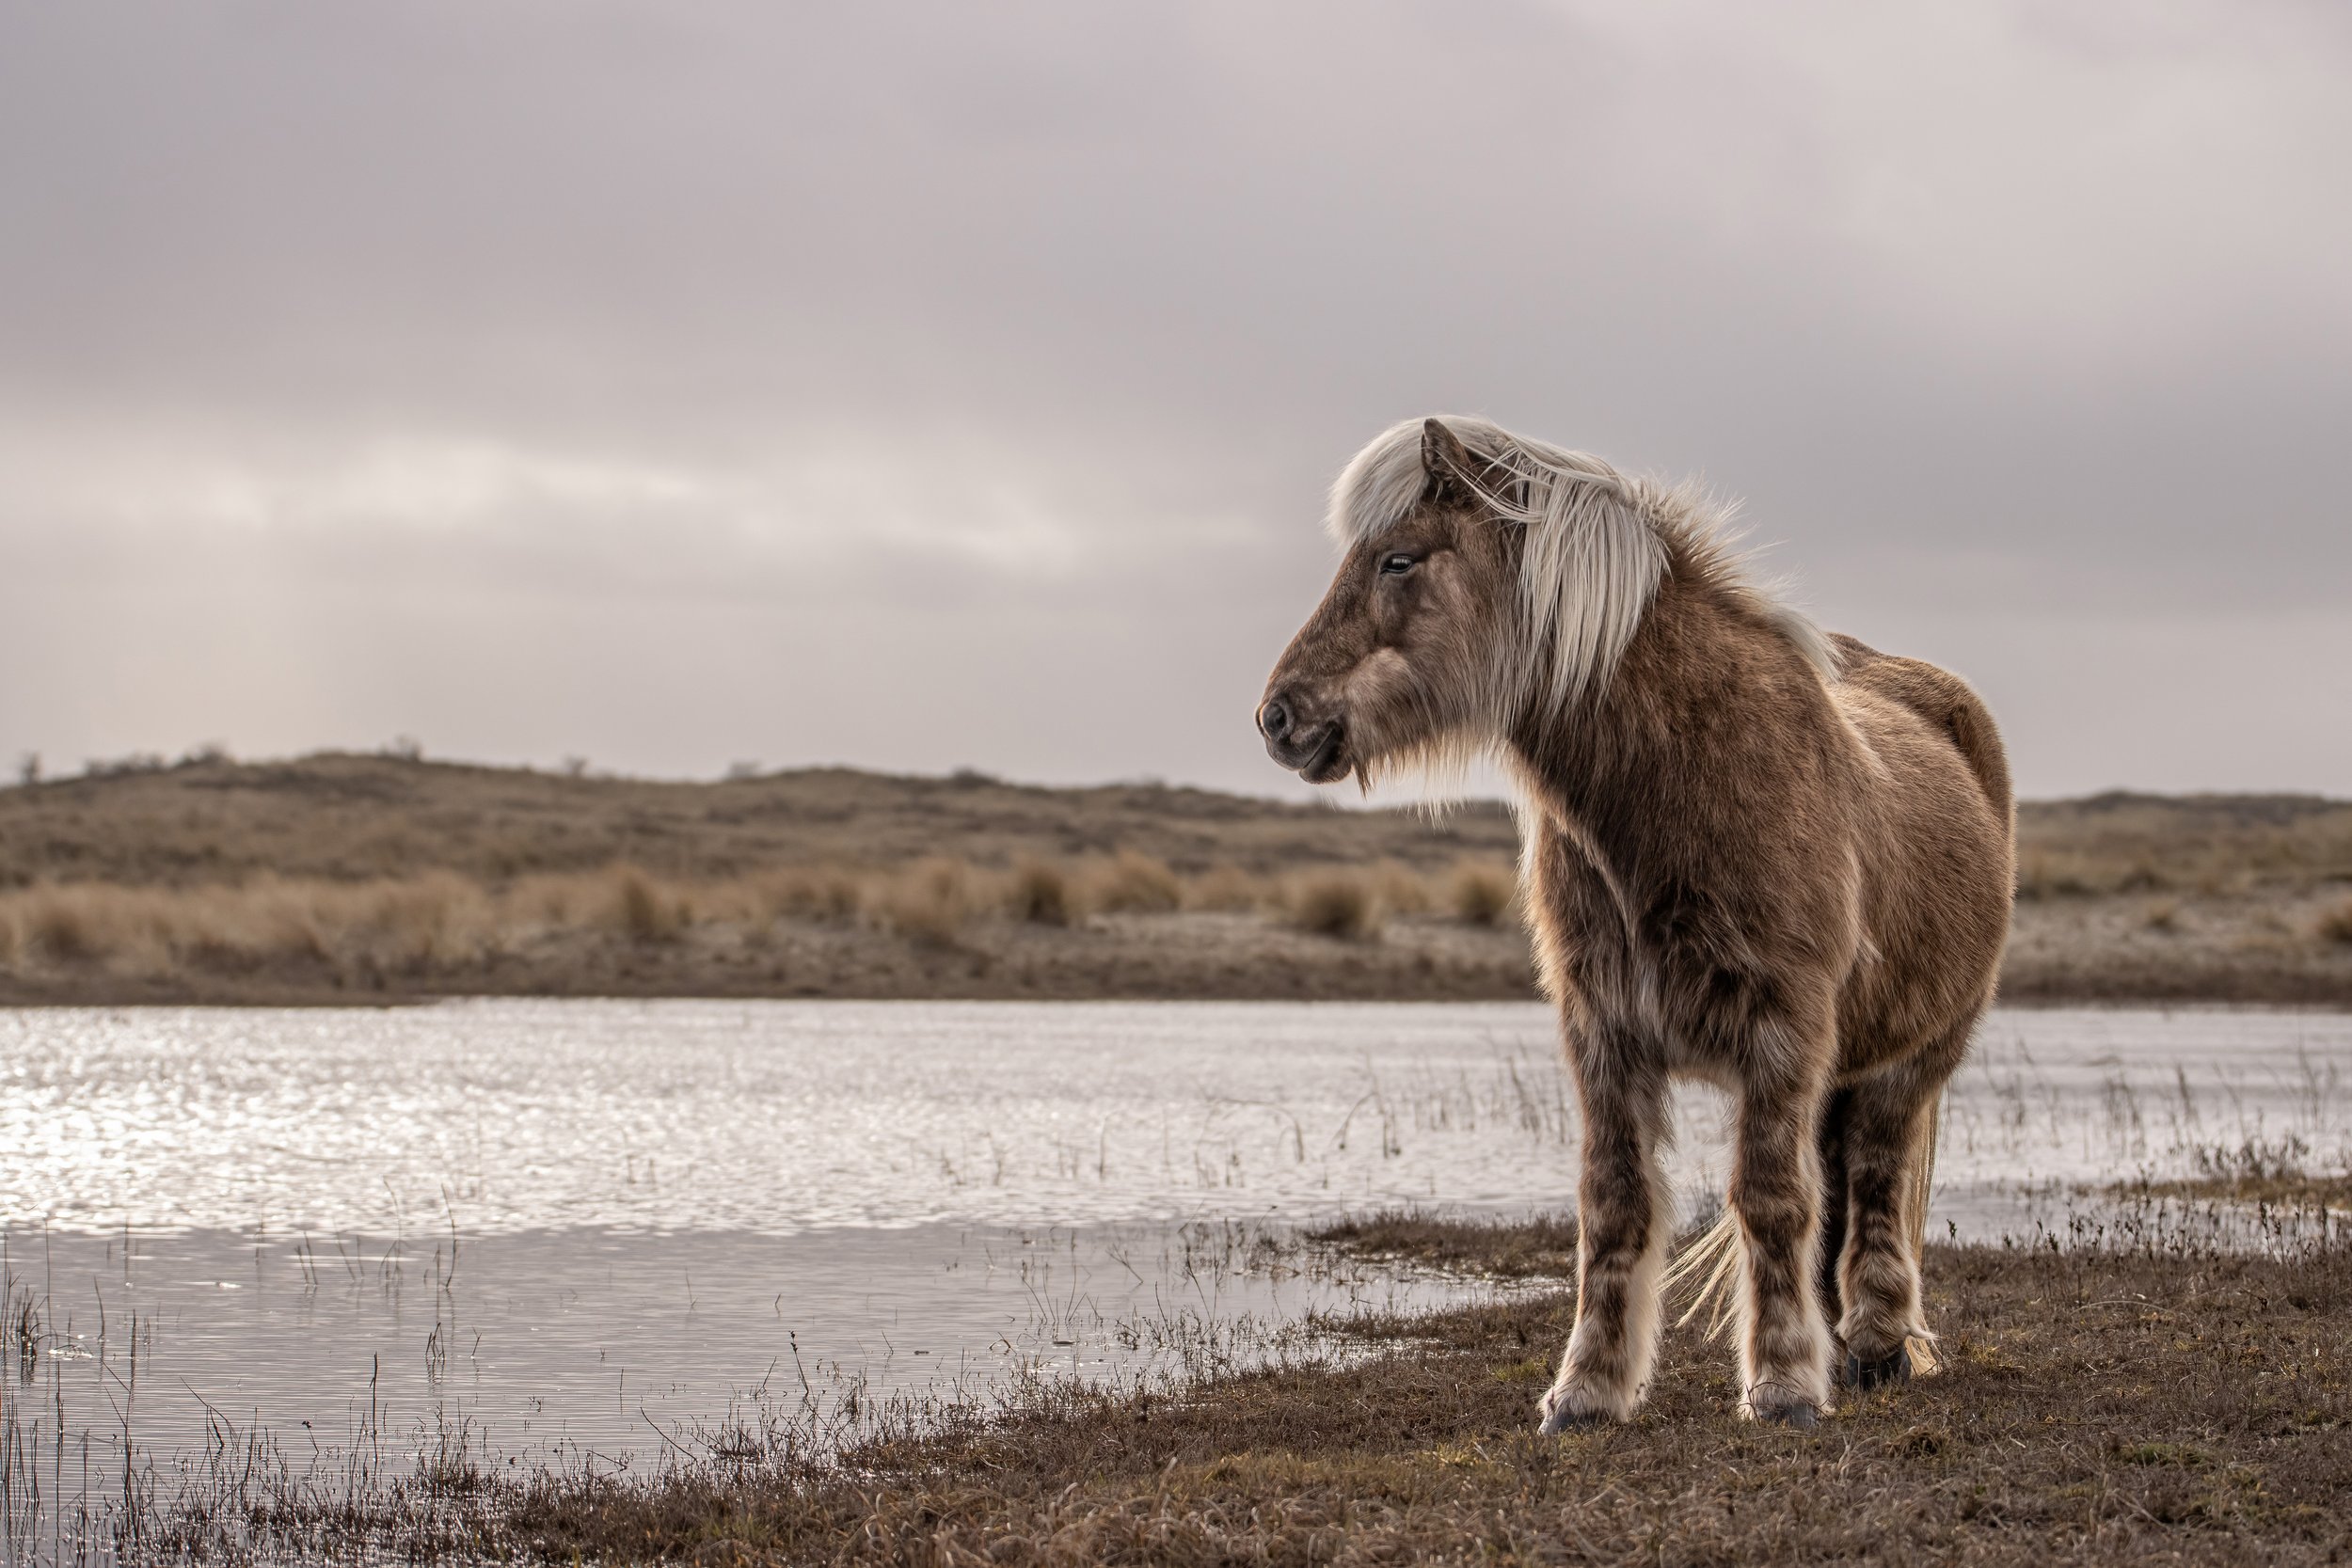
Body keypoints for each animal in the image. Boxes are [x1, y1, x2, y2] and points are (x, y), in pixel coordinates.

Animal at [1258, 416, 2013, 1429]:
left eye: (1398, 559)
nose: (1278, 716)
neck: (1686, 779)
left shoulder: (1782, 1031)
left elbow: (1769, 1198)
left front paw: (1782, 1385)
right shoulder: (1603, 1032)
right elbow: (1613, 1204)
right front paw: (1587, 1390)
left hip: (1917, 1055)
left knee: (1877, 1177)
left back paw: (1875, 1344)